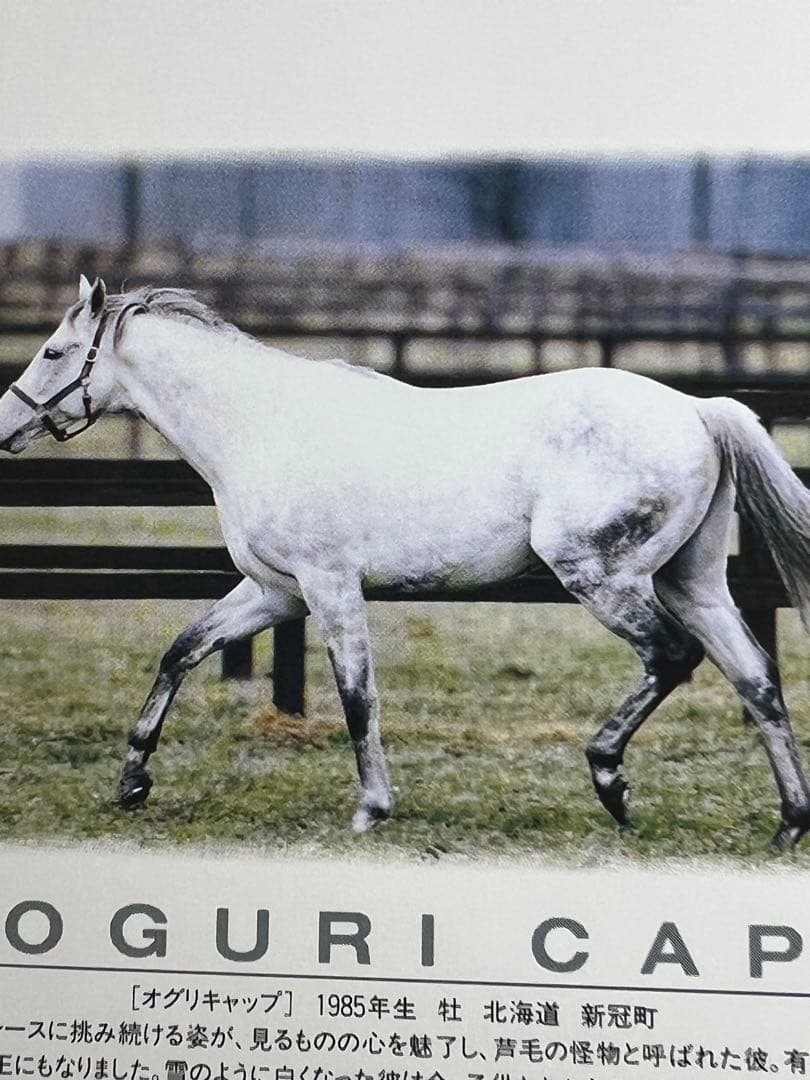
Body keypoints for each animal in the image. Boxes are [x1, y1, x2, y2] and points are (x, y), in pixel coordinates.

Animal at [2, 275, 810, 849]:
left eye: (52, 353)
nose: (6, 426)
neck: (260, 427)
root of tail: (698, 410)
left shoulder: (329, 588)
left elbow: (358, 697)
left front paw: (371, 809)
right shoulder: (274, 593)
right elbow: (181, 651)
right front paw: (132, 783)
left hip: (599, 574)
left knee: (671, 657)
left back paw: (611, 779)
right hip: (692, 581)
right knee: (756, 679)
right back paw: (788, 823)